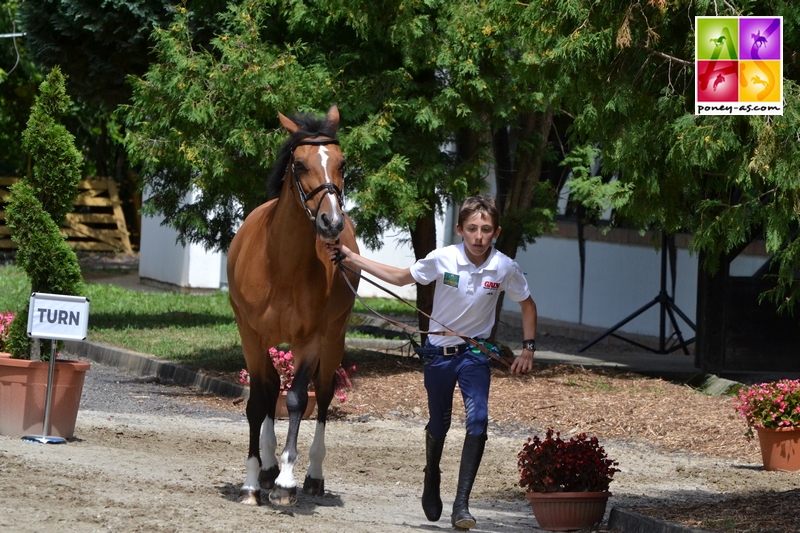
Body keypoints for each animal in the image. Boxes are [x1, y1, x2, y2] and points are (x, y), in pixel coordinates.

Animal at [227, 105, 360, 508]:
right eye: (299, 164)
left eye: (342, 163)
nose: (332, 222)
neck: (281, 265)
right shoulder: (251, 335)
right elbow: (259, 401)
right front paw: (253, 482)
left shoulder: (310, 340)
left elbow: (300, 399)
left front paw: (287, 481)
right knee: (271, 388)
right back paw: (267, 470)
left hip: (334, 338)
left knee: (324, 393)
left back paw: (311, 476)